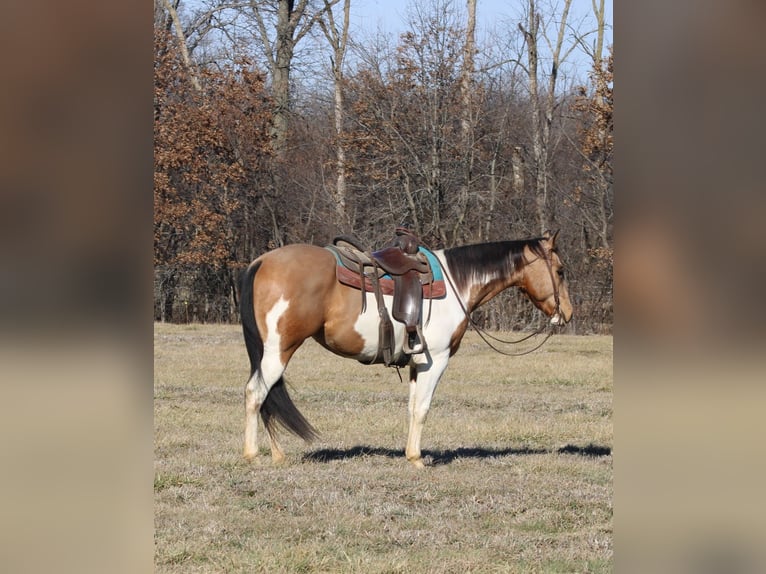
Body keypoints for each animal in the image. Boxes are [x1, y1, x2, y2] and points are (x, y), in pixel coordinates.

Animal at [239, 230, 573, 468]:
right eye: (560, 270)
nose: (567, 314)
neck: (457, 283)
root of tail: (261, 261)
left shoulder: (416, 363)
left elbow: (412, 408)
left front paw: (410, 454)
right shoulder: (435, 361)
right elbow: (423, 408)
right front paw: (416, 459)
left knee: (269, 398)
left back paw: (278, 455)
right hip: (279, 350)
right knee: (257, 393)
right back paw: (253, 454)